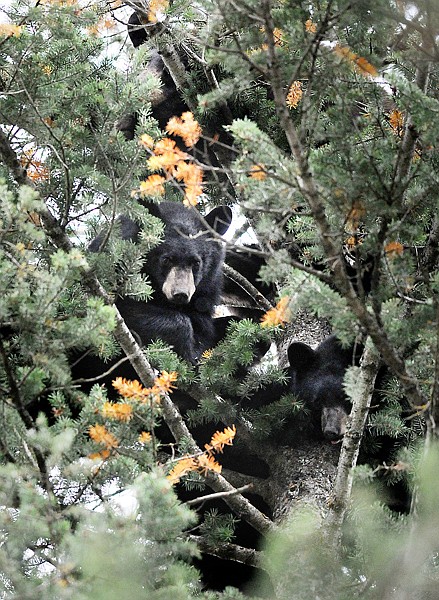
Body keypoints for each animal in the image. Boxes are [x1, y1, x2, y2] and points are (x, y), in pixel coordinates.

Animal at [90, 202, 234, 364]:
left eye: (196, 263)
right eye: (166, 259)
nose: (180, 294)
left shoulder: (206, 292)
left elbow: (205, 328)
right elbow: (123, 308)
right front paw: (187, 353)